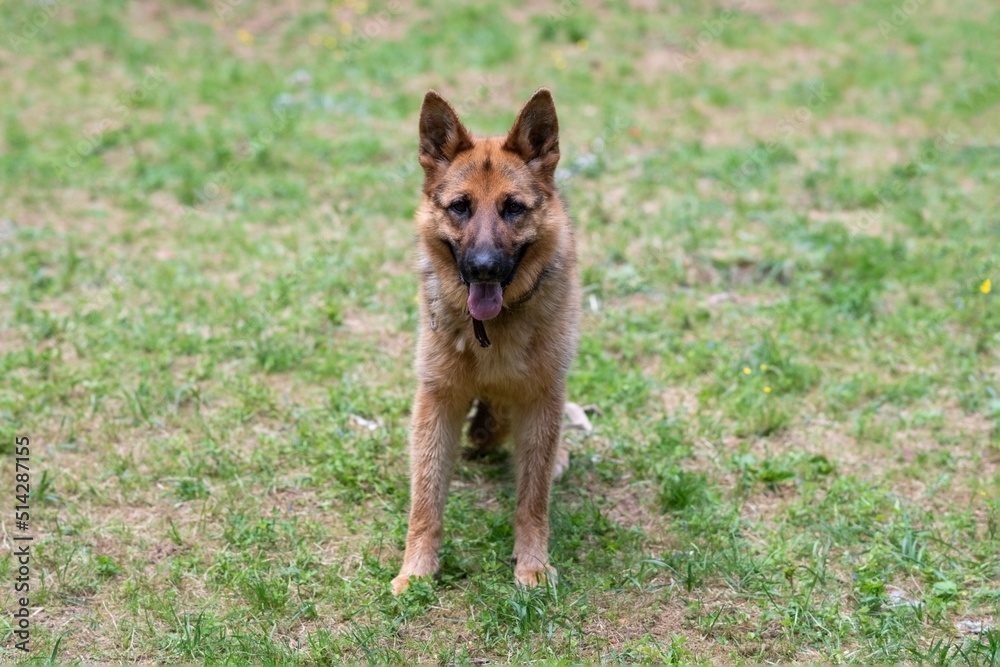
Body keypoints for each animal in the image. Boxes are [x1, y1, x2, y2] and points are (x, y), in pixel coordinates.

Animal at [388, 90, 580, 596]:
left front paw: (532, 564)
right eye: (460, 206)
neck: (490, 332)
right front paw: (416, 569)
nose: (484, 268)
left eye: (513, 208)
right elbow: (425, 499)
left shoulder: (542, 398)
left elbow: (533, 499)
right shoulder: (437, 400)